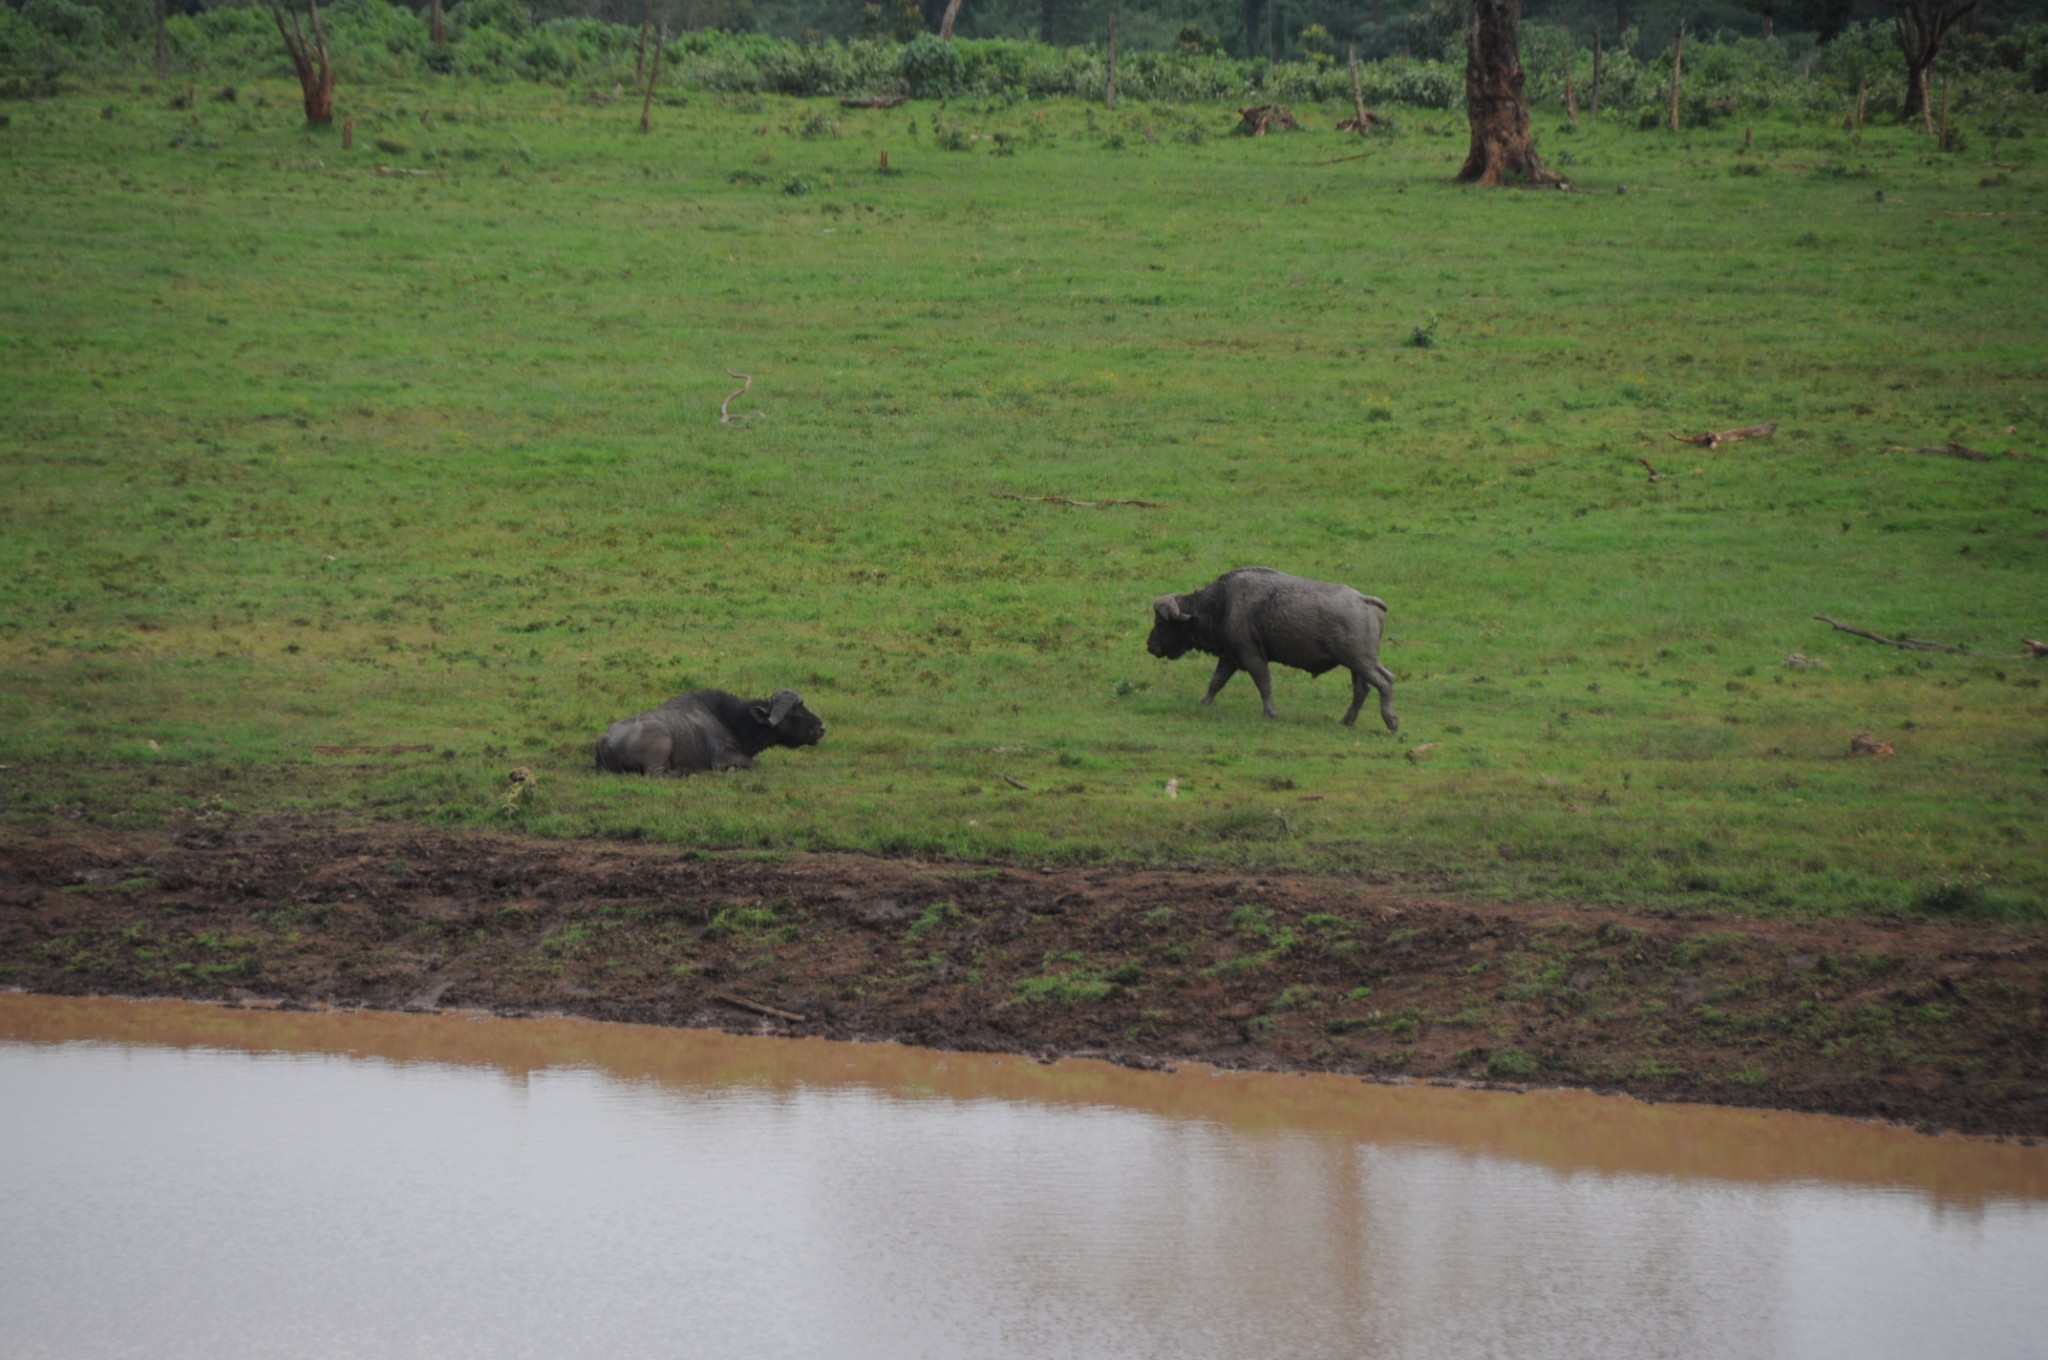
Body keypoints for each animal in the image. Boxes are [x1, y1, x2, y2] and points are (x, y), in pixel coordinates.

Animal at [593, 692, 823, 774]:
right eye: (795, 712)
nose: (822, 728)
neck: (732, 720)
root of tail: (604, 739)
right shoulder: (723, 757)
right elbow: (752, 764)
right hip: (662, 742)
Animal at [1146, 565, 1400, 733]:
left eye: (1160, 623)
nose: (1150, 645)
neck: (1223, 603)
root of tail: (1366, 601)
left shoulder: (1252, 657)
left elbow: (1264, 684)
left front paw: (1271, 713)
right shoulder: (1229, 658)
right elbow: (1216, 682)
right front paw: (1203, 703)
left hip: (1361, 661)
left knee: (1385, 681)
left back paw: (1391, 721)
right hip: (1356, 665)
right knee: (1362, 689)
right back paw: (1347, 721)